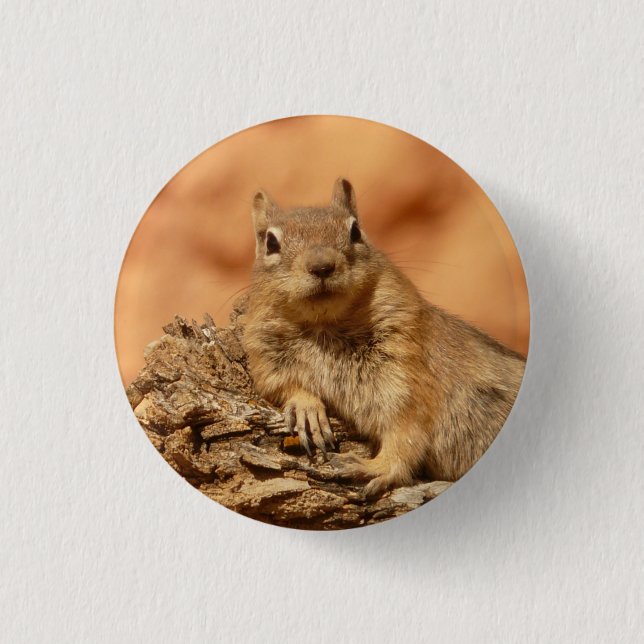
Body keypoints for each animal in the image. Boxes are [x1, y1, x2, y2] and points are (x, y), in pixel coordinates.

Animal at [241, 178, 527, 497]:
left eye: (355, 231)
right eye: (271, 242)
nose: (322, 266)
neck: (324, 326)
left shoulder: (405, 370)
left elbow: (406, 430)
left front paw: (374, 467)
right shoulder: (265, 355)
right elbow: (280, 385)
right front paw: (307, 408)